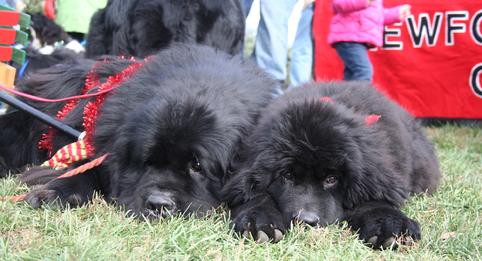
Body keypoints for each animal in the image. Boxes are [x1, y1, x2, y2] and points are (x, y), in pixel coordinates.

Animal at [224, 81, 442, 248]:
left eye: (332, 179)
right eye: (287, 175)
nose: (306, 221)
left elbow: (373, 200)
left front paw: (392, 226)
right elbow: (257, 195)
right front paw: (259, 221)